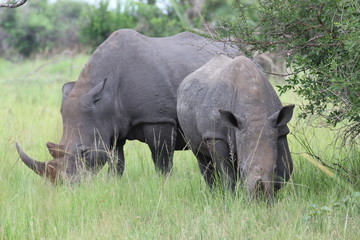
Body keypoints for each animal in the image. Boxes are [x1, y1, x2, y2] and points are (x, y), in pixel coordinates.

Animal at [16, 29, 239, 183]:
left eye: (84, 152)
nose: (63, 185)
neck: (104, 98)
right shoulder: (110, 126)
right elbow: (116, 162)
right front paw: (112, 183)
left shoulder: (157, 119)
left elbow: (162, 160)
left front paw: (163, 184)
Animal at [177, 55, 296, 200]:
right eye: (242, 169)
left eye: (273, 168)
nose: (259, 199)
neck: (254, 113)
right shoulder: (216, 136)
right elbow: (227, 172)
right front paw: (231, 197)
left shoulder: (279, 129)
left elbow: (286, 168)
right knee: (202, 157)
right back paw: (213, 194)